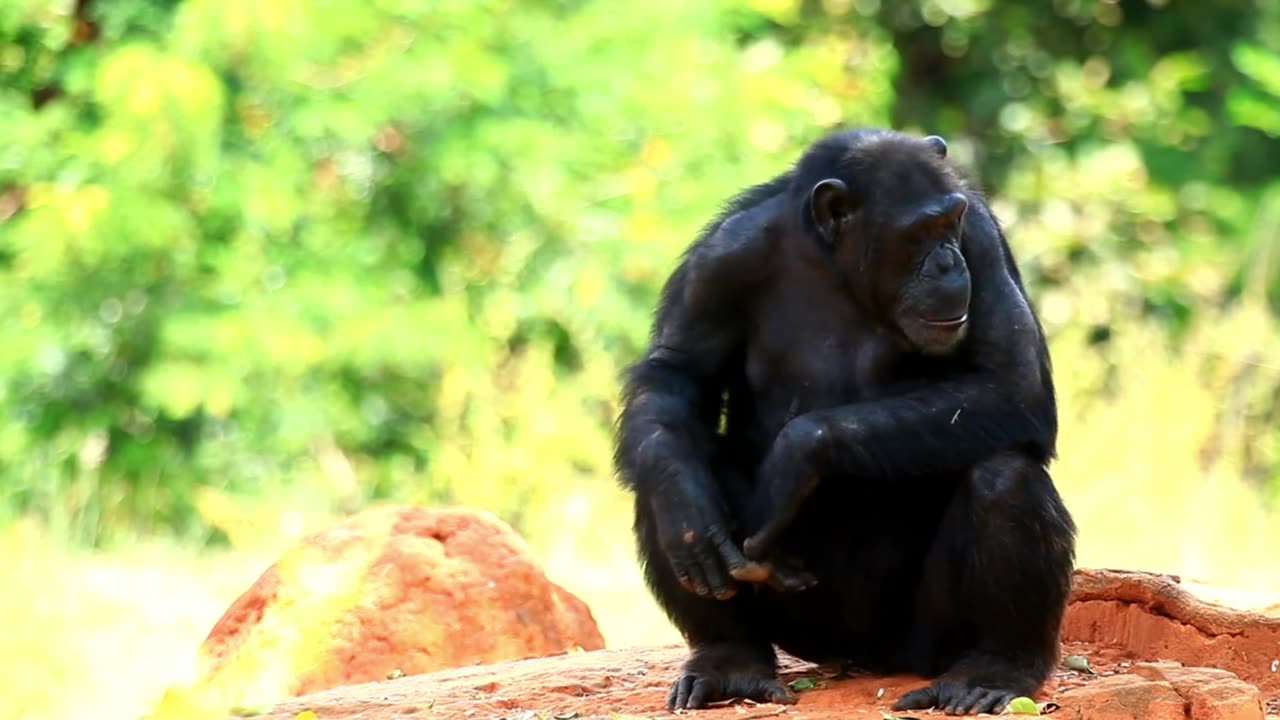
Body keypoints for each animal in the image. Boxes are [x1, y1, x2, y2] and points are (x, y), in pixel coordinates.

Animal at [614, 127, 1075, 712]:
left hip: (924, 636)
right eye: (920, 233)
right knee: (664, 469)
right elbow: (676, 376)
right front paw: (688, 507)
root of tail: (862, 659)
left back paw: (995, 669)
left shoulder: (983, 239)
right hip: (800, 622)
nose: (949, 262)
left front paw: (794, 459)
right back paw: (727, 657)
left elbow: (1011, 382)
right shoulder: (719, 260)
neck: (835, 266)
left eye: (951, 224)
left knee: (1005, 476)